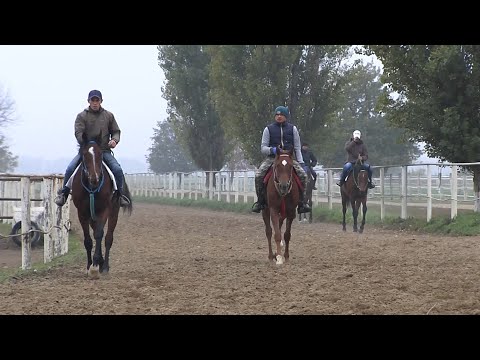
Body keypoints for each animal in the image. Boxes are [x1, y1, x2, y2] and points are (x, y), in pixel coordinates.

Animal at [70, 132, 133, 278]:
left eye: (100, 154)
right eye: (84, 155)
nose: (95, 178)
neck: (92, 188)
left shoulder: (104, 211)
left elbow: (99, 234)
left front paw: (95, 266)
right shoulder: (82, 213)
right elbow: (88, 240)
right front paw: (89, 265)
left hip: (113, 212)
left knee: (108, 238)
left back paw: (104, 266)